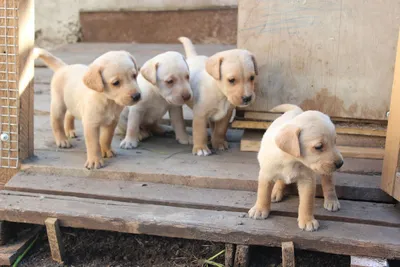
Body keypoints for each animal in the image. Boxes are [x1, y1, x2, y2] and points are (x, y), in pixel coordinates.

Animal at [247, 104, 344, 232]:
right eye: (318, 147)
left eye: (335, 141)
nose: (340, 163)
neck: (292, 160)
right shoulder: (266, 174)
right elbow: (263, 193)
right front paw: (260, 209)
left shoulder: (307, 180)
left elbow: (307, 202)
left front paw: (307, 220)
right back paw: (276, 191)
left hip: (326, 172)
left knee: (328, 182)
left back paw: (331, 200)